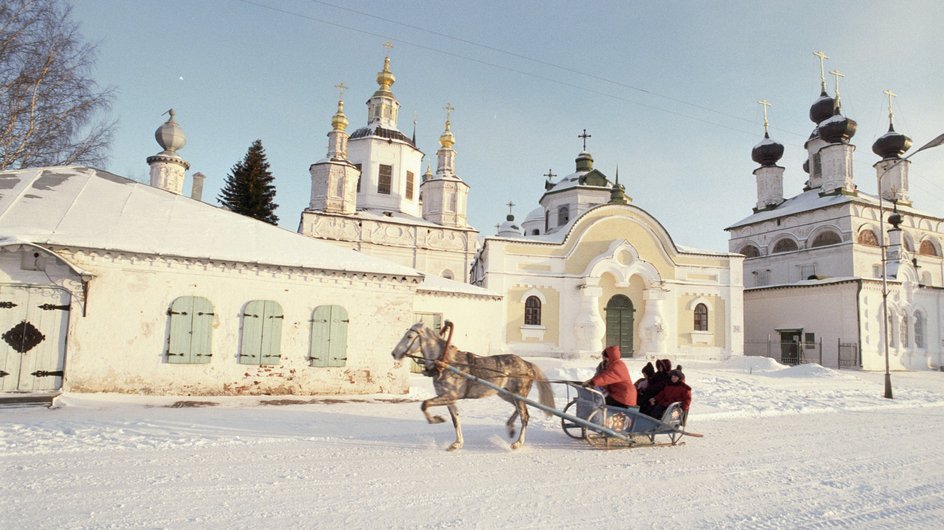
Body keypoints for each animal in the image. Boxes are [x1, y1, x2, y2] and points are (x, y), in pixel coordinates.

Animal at [390, 322, 552, 450]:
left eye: (409, 336)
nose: (394, 353)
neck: (445, 364)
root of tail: (527, 364)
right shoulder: (449, 399)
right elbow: (456, 420)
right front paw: (457, 443)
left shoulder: (449, 396)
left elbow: (424, 404)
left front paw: (437, 419)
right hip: (506, 394)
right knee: (519, 411)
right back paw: (510, 428)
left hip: (518, 395)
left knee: (525, 415)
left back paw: (518, 443)